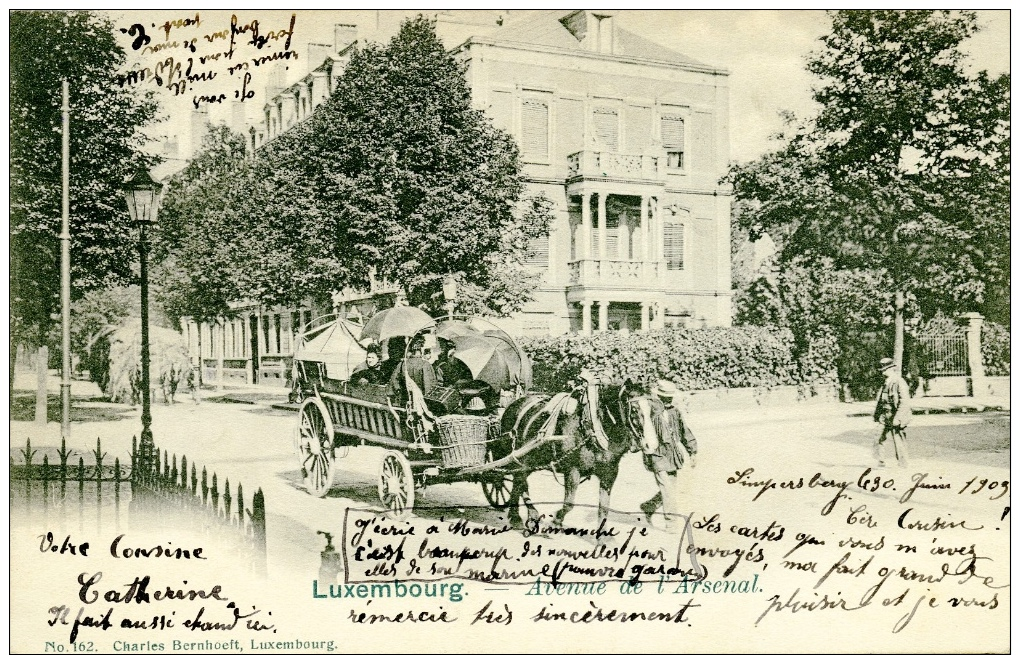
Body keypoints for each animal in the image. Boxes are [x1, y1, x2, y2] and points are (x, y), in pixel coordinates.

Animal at [491, 377, 652, 530]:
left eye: (653, 410)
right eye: (635, 409)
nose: (649, 445)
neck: (592, 426)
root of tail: (514, 403)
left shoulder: (609, 473)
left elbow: (604, 507)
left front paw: (603, 535)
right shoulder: (573, 469)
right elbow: (569, 503)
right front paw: (556, 521)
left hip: (528, 461)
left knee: (519, 482)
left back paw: (521, 516)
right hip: (519, 459)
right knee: (519, 481)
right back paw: (523, 515)